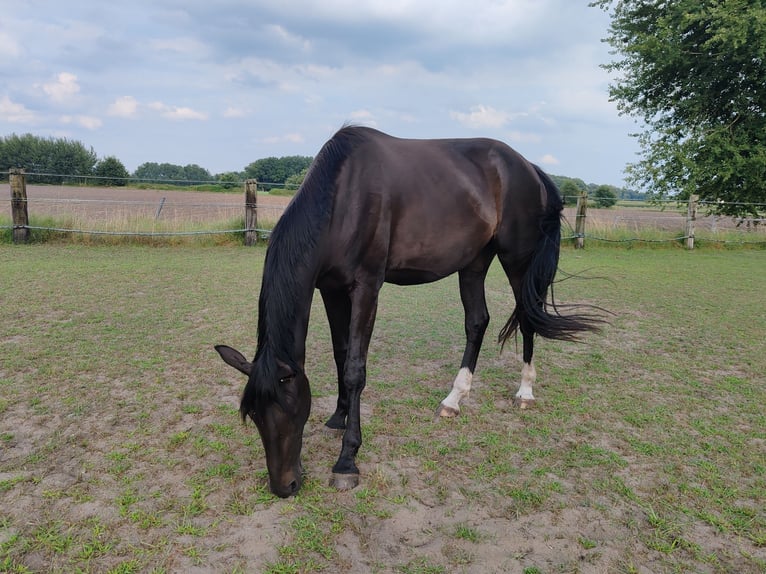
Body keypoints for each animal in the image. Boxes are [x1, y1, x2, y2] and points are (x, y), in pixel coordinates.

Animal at [214, 126, 600, 500]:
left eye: (289, 409)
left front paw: (347, 460)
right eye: (254, 416)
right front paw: (339, 415)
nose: (284, 487)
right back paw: (454, 400)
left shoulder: (367, 287)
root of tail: (529, 168)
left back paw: (525, 392)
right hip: (474, 263)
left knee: (527, 317)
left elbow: (355, 369)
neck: (343, 199)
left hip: (517, 260)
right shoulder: (331, 290)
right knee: (477, 322)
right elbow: (341, 354)